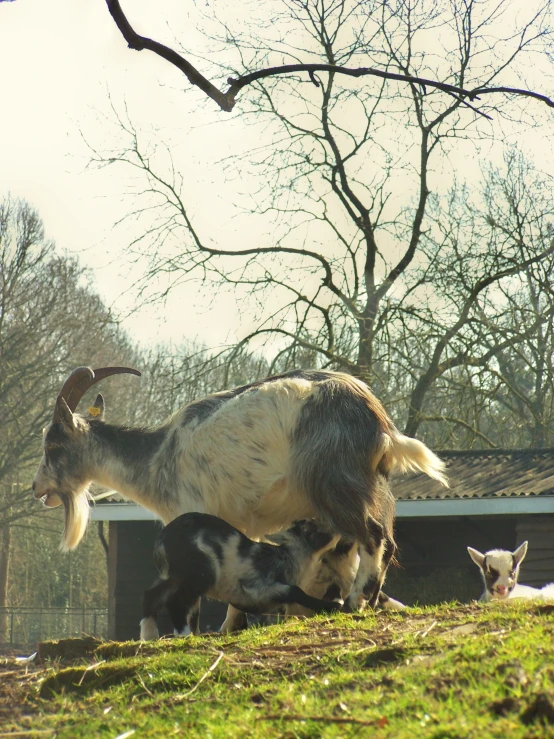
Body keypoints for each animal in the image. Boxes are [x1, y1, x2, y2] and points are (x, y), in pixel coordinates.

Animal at [33, 368, 444, 628]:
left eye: (53, 445)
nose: (37, 489)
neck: (158, 456)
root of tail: (379, 421)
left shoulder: (196, 514)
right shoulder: (247, 524)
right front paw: (234, 623)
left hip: (337, 485)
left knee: (375, 537)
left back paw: (357, 602)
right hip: (369, 487)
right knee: (369, 546)